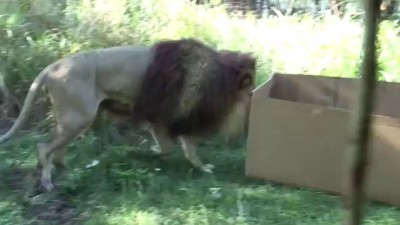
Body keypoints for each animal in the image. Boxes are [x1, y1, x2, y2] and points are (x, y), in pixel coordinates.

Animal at [0, 38, 256, 192]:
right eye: (250, 87)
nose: (254, 98)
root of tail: (53, 67)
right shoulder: (170, 115)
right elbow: (176, 148)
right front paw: (144, 155)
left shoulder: (171, 117)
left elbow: (180, 148)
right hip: (77, 118)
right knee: (44, 148)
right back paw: (47, 182)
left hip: (74, 120)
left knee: (58, 151)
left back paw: (67, 169)